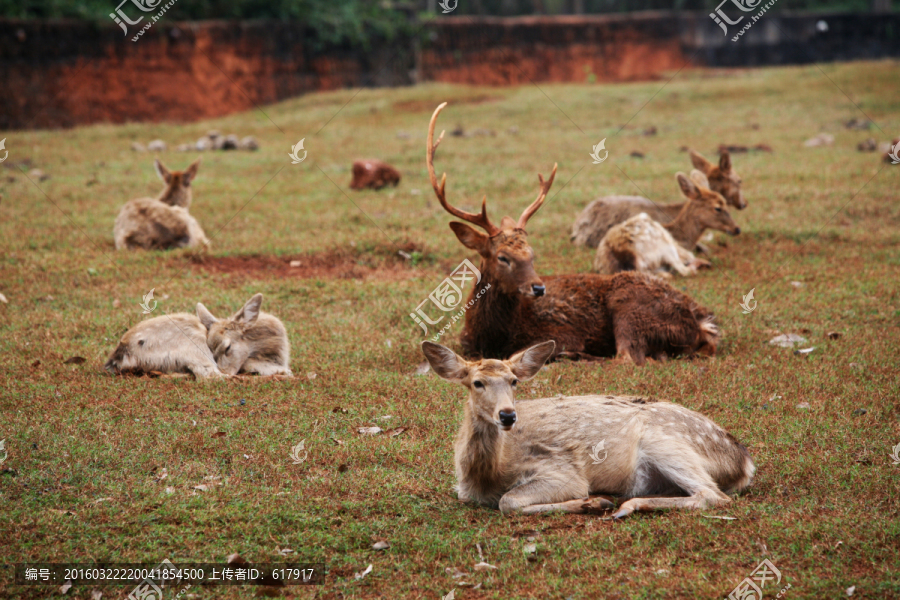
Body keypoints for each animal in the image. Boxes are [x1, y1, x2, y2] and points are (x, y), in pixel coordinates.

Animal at [422, 340, 752, 516]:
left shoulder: (561, 470)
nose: (507, 415)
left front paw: (591, 501)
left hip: (665, 442)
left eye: (514, 381)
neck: (486, 476)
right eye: (477, 382)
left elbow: (509, 501)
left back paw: (625, 505)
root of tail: (745, 462)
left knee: (711, 495)